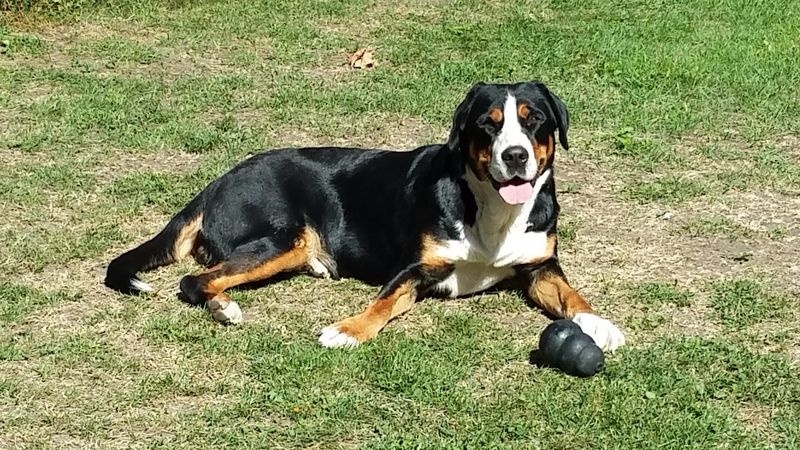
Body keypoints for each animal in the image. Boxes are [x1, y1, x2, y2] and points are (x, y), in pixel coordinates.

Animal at [105, 81, 625, 352]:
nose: (515, 156)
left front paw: (597, 323)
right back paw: (223, 306)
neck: (493, 211)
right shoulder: (415, 269)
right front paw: (348, 329)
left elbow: (571, 294)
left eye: (534, 120)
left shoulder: (540, 266)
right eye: (488, 125)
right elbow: (382, 303)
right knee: (195, 280)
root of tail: (218, 181)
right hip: (280, 239)